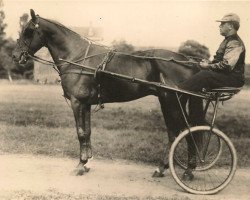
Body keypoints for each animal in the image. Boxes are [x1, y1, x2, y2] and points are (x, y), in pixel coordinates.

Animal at [12, 9, 203, 177]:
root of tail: (188, 61)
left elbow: (80, 133)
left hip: (172, 102)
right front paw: (87, 163)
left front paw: (80, 165)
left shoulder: (76, 102)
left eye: (28, 31)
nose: (15, 56)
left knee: (184, 131)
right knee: (176, 132)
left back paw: (186, 170)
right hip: (168, 102)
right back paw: (167, 168)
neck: (77, 57)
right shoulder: (86, 103)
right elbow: (88, 132)